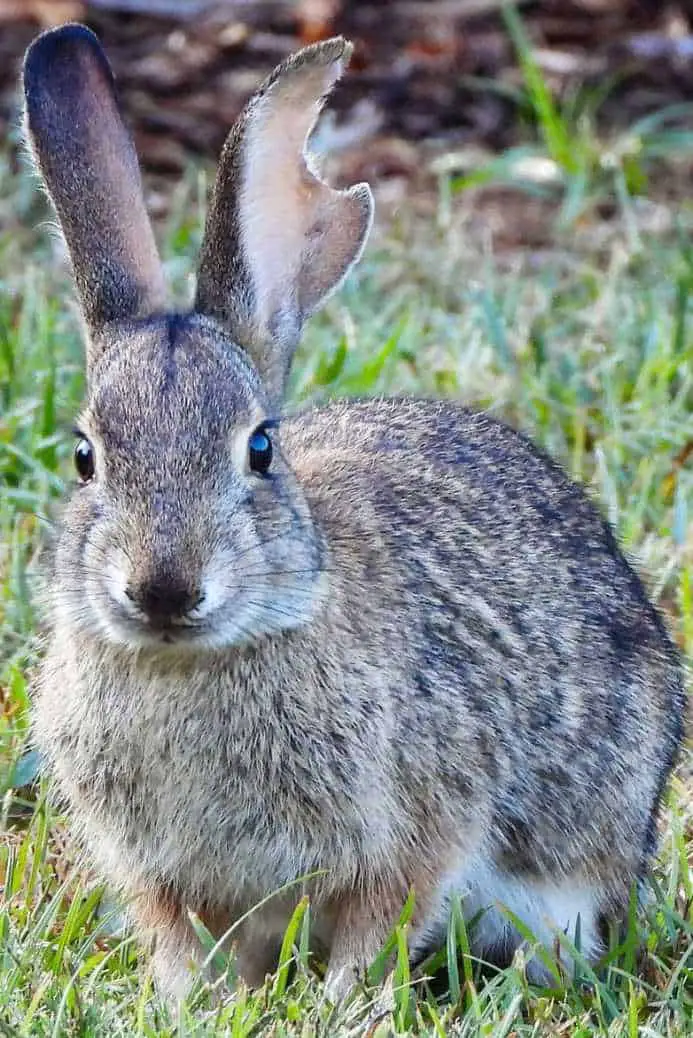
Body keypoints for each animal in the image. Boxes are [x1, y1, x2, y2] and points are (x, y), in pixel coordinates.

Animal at [24, 24, 684, 1008]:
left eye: (260, 450)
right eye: (83, 458)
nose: (164, 589)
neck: (195, 663)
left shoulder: (418, 829)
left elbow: (382, 921)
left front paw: (339, 1006)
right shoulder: (160, 877)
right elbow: (181, 943)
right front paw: (195, 1006)